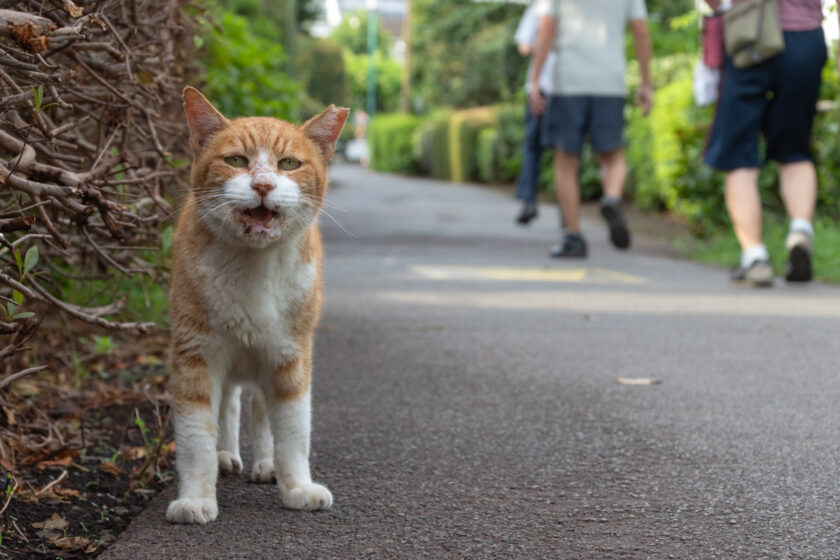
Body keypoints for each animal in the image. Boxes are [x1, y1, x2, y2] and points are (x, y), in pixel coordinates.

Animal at [166, 85, 350, 524]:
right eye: (236, 160)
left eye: (288, 164)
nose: (264, 184)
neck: (253, 269)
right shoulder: (194, 354)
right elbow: (196, 436)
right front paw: (196, 497)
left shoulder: (290, 358)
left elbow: (293, 432)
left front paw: (297, 487)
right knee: (230, 405)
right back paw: (226, 456)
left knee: (261, 412)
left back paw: (266, 464)